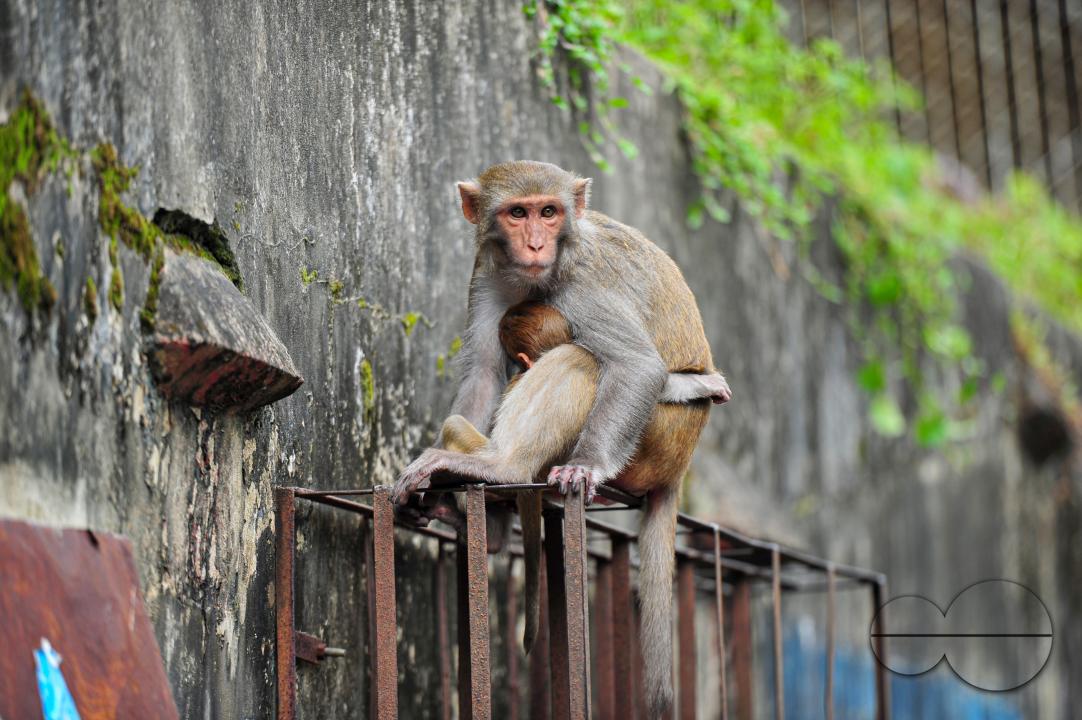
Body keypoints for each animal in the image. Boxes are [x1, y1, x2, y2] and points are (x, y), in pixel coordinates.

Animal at [393, 161, 722, 714]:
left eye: (549, 212)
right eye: (517, 213)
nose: (534, 244)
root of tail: (679, 467)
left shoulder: (584, 281)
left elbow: (637, 365)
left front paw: (586, 465)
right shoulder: (486, 272)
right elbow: (484, 372)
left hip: (655, 440)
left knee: (584, 358)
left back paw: (501, 466)